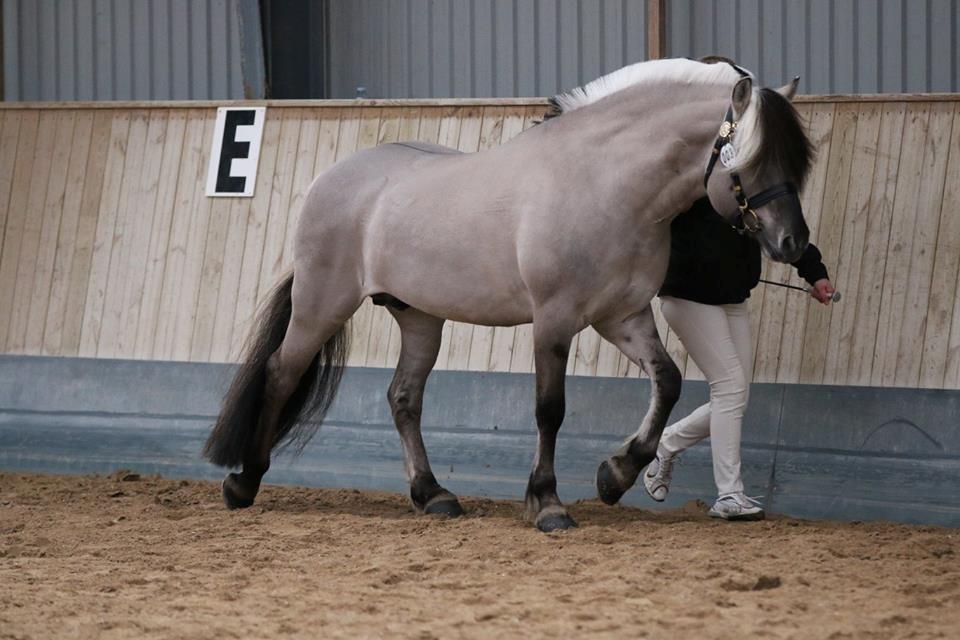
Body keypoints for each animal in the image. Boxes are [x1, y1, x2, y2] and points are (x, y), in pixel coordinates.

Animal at [201, 58, 808, 528]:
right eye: (751, 159)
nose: (794, 243)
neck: (602, 184)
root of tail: (333, 179)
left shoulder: (623, 316)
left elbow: (669, 381)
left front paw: (614, 476)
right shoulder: (554, 319)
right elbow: (549, 410)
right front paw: (547, 504)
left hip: (419, 317)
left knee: (403, 398)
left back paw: (433, 495)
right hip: (323, 302)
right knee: (281, 372)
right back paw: (244, 484)